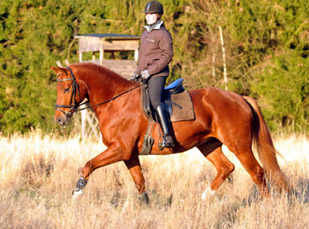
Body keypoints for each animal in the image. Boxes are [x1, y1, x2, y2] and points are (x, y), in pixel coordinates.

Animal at [51, 62, 288, 202]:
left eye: (66, 89)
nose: (60, 120)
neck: (115, 102)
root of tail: (240, 98)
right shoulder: (129, 154)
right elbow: (139, 182)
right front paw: (145, 207)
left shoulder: (120, 150)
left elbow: (88, 165)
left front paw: (77, 192)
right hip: (208, 145)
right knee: (226, 168)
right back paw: (205, 197)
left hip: (239, 146)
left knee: (257, 172)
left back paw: (266, 206)